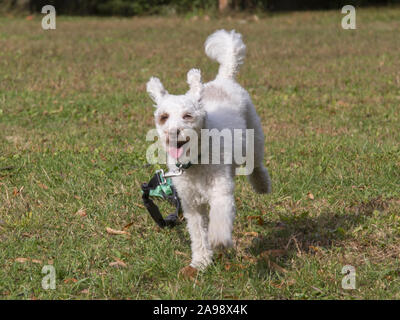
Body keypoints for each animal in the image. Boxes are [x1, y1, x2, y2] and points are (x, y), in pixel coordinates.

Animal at [145, 29, 270, 270]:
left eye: (187, 116)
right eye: (163, 117)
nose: (172, 132)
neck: (195, 162)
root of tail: (223, 79)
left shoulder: (220, 192)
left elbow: (219, 218)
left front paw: (219, 241)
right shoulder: (190, 204)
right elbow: (197, 233)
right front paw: (201, 261)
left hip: (254, 134)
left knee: (256, 163)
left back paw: (261, 184)